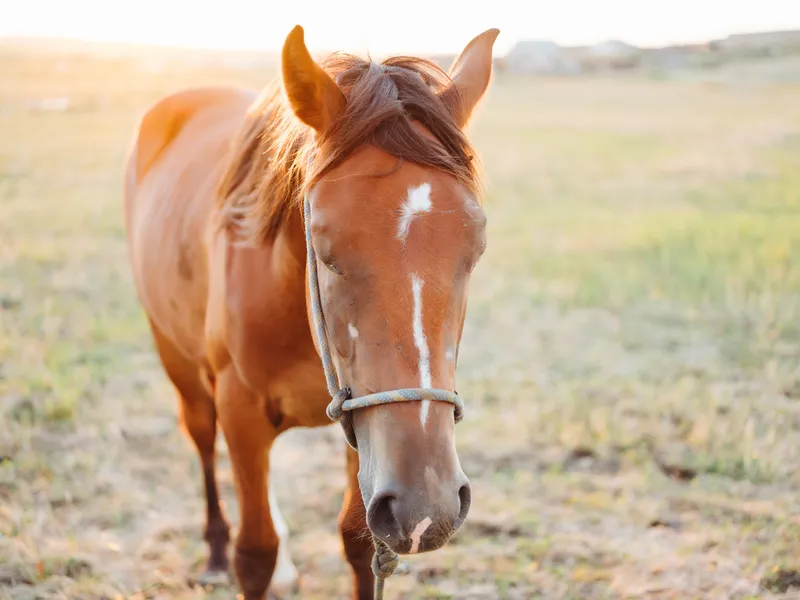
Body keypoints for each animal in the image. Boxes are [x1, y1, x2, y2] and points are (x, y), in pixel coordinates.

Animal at [123, 24, 498, 600]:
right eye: (322, 244)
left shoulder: (364, 426)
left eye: (476, 247)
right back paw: (214, 550)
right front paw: (251, 559)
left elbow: (359, 543)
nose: (426, 507)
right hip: (176, 356)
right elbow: (255, 552)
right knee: (202, 438)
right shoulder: (241, 411)